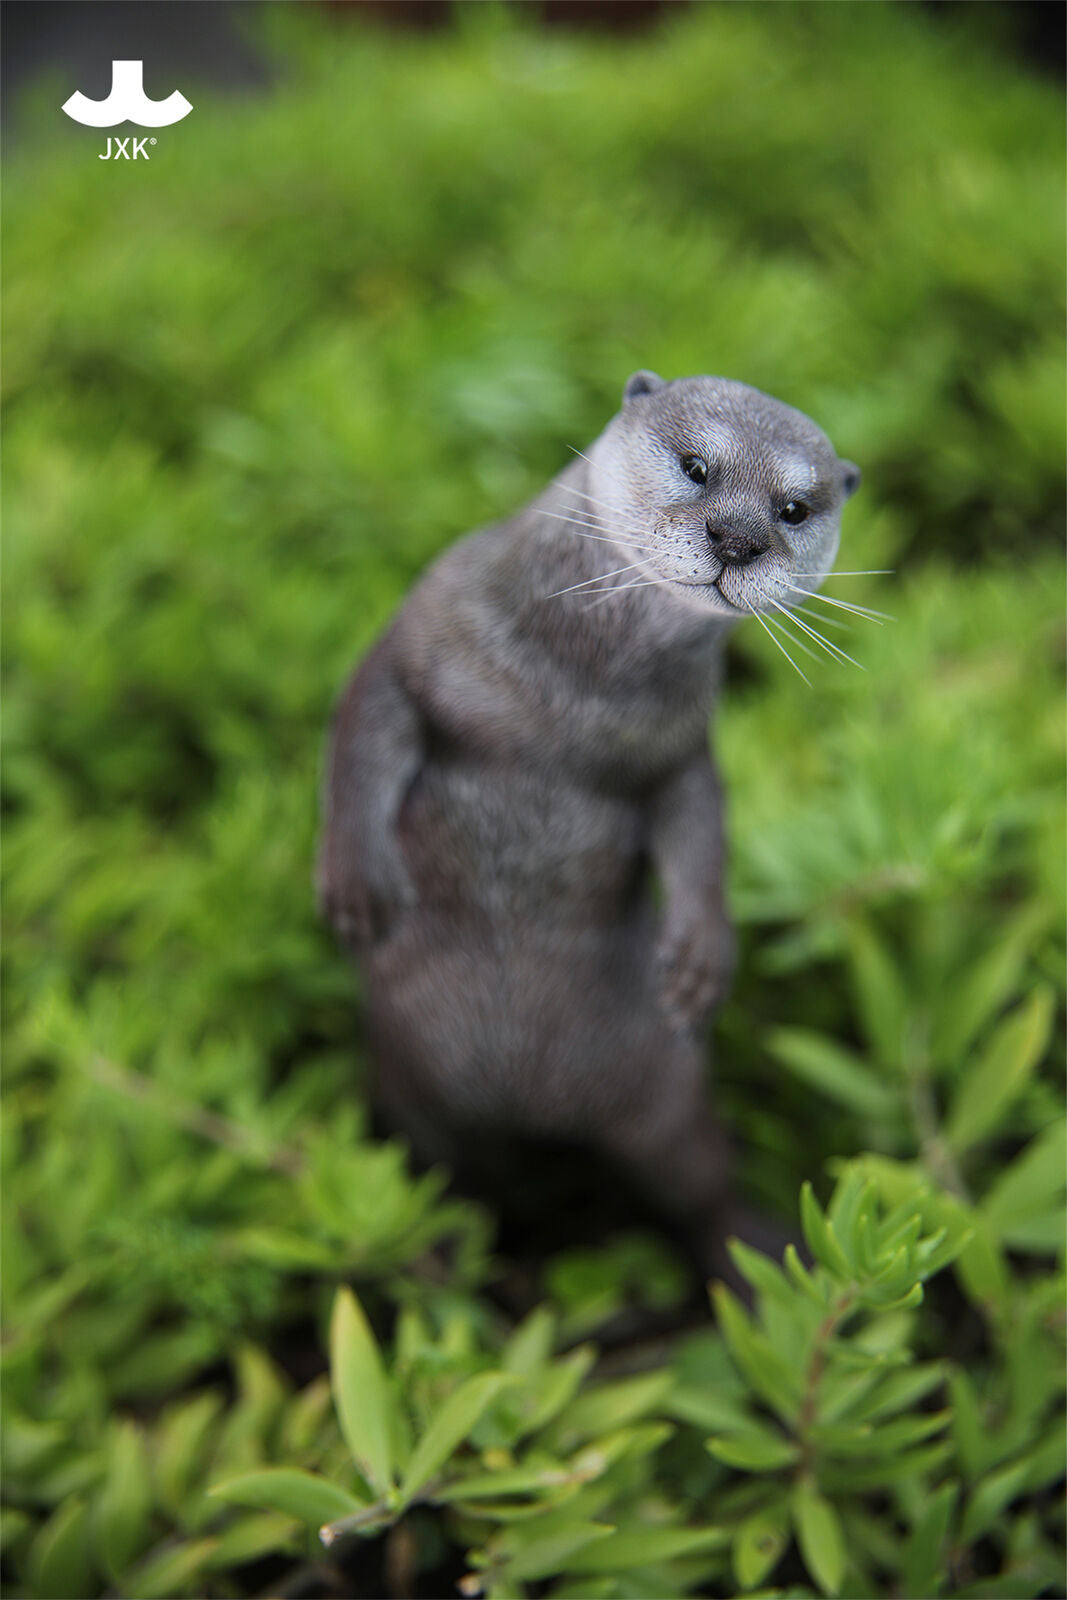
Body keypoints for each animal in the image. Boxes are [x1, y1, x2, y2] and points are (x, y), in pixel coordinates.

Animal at [319, 371, 860, 1268]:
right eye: (695, 465)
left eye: (792, 508)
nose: (738, 539)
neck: (572, 699)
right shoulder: (414, 645)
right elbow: (361, 735)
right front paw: (359, 886)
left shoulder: (681, 755)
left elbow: (700, 833)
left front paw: (701, 957)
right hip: (404, 1091)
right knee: (438, 1166)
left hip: (667, 1099)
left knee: (696, 1183)